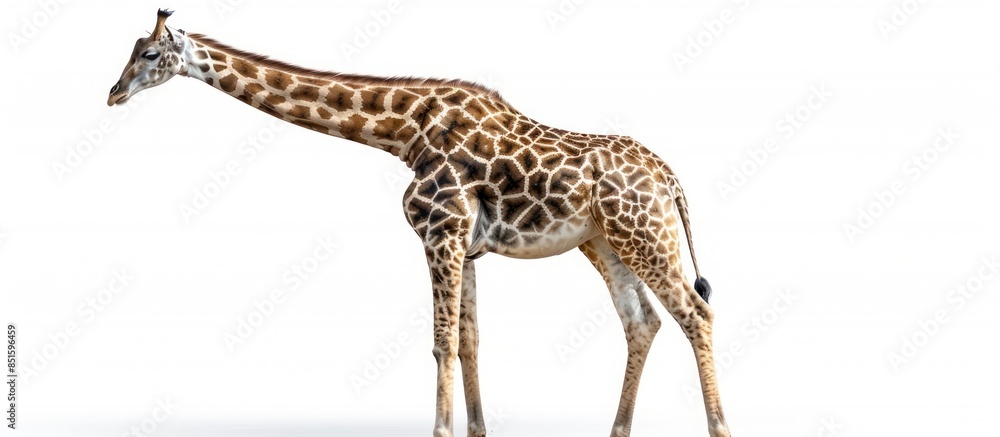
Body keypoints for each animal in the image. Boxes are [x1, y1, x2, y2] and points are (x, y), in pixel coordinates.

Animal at [108, 9, 731, 437]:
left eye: (150, 55)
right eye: (134, 50)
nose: (112, 93)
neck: (404, 133)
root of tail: (671, 179)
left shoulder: (440, 231)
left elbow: (440, 343)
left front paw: (440, 430)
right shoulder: (465, 245)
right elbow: (469, 342)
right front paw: (477, 430)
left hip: (643, 233)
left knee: (695, 312)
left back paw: (718, 426)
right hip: (605, 242)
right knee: (642, 322)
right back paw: (617, 430)